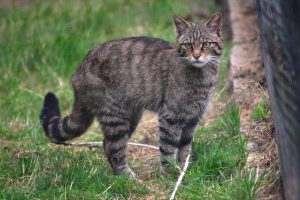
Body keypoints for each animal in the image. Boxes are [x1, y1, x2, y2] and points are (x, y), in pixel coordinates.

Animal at [39, 12, 223, 177]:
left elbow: (185, 148)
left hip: (131, 117)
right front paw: (169, 175)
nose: (197, 56)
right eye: (188, 45)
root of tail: (79, 70)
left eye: (206, 44)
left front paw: (184, 171)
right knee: (114, 147)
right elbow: (168, 149)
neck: (203, 77)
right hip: (115, 118)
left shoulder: (192, 118)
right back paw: (126, 177)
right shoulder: (170, 117)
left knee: (106, 144)